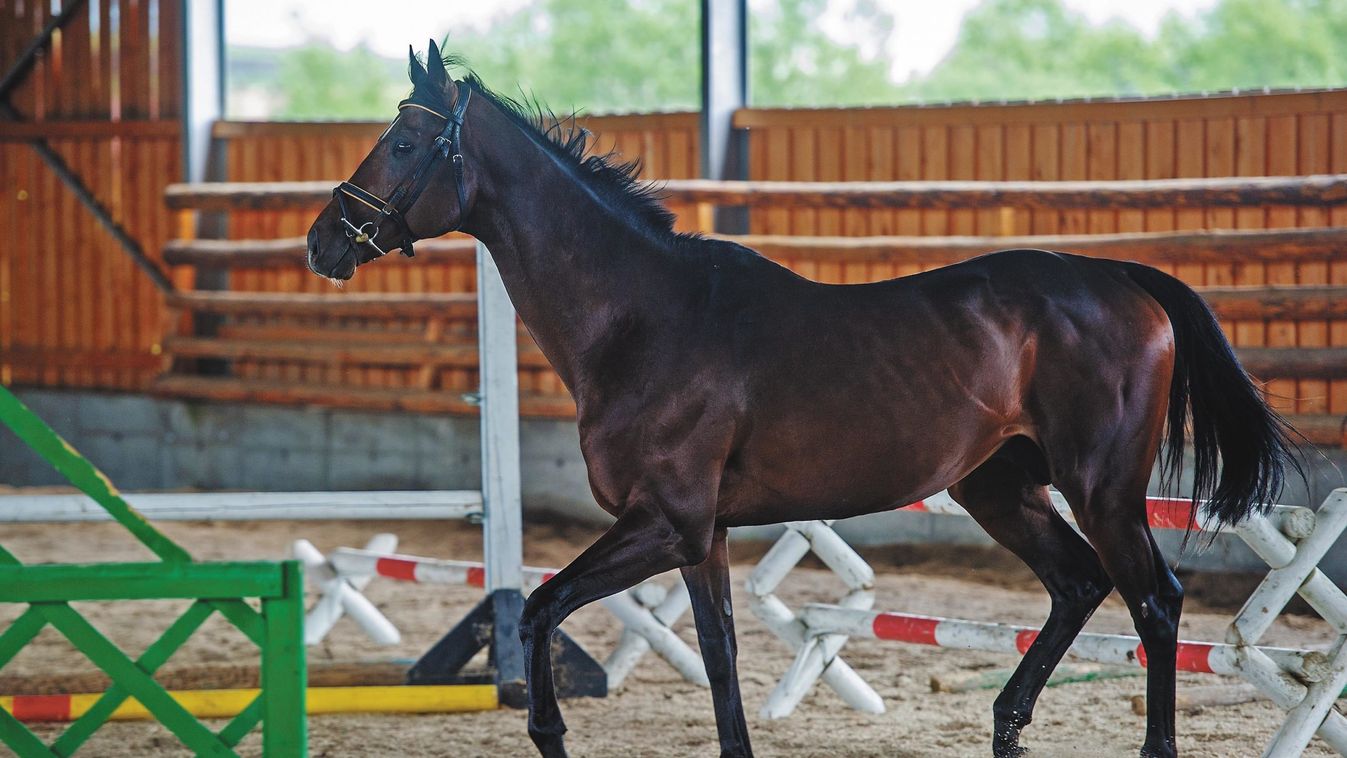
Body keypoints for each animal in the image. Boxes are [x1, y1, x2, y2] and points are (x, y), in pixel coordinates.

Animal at [303, 43, 1293, 758]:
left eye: (402, 143)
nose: (323, 241)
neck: (646, 317)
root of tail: (1121, 279)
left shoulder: (663, 522)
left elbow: (541, 607)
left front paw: (547, 730)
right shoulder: (698, 535)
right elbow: (719, 656)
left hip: (1102, 488)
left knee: (1153, 603)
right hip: (998, 486)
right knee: (1079, 584)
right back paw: (1006, 727)